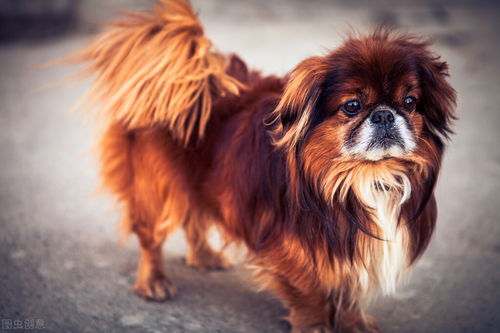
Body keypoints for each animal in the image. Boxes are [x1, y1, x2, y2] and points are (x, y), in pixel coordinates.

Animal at [69, 0, 458, 330]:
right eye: (352, 106)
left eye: (409, 102)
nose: (384, 114)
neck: (364, 177)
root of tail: (182, 77)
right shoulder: (296, 251)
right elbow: (311, 296)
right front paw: (316, 327)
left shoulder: (354, 252)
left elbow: (349, 294)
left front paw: (355, 325)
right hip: (158, 187)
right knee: (151, 236)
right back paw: (154, 282)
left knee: (195, 217)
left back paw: (204, 256)